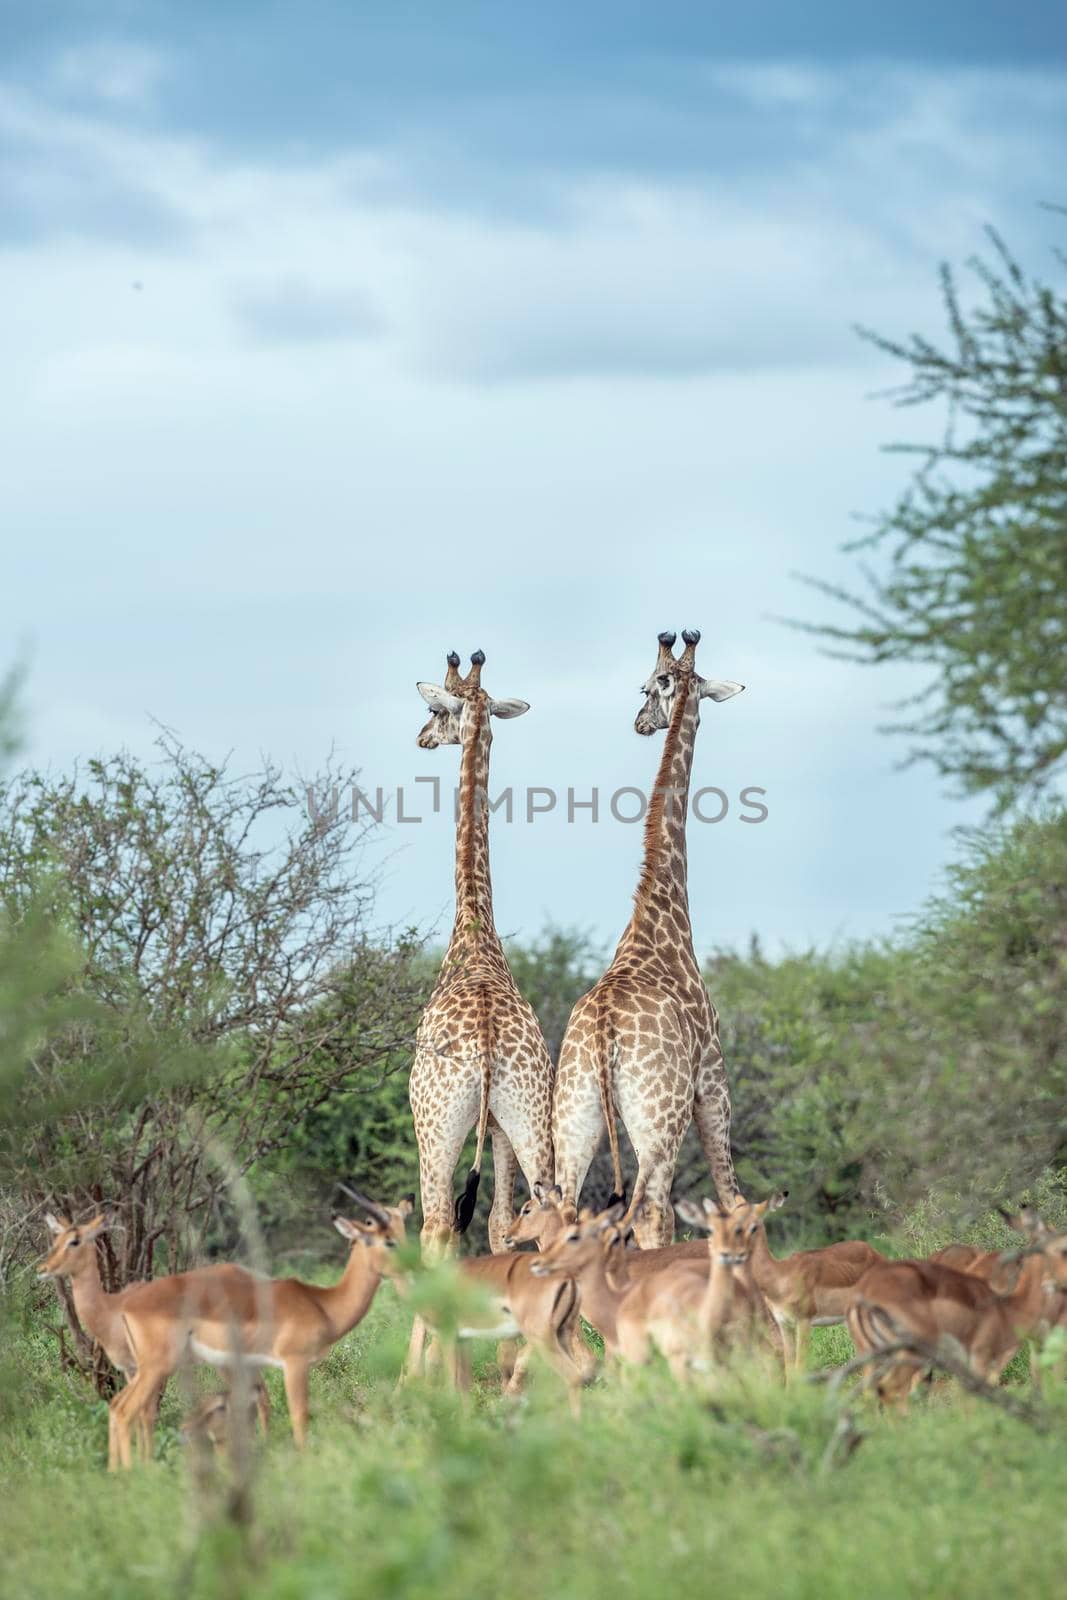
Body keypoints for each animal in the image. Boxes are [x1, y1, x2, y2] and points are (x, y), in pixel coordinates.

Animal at [556, 627, 748, 1248]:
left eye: (647, 687)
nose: (640, 722)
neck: (663, 915)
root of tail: (604, 1034)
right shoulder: (712, 1081)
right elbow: (733, 1199)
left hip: (574, 1113)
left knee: (560, 1210)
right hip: (659, 1117)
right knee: (653, 1210)